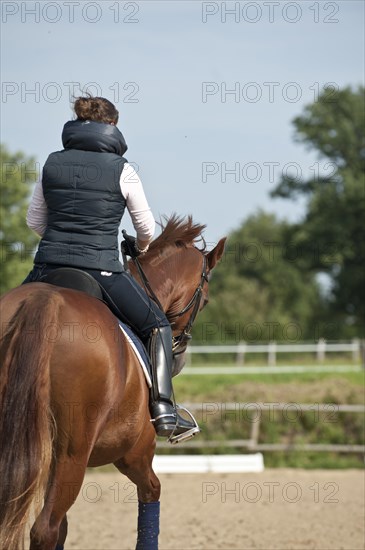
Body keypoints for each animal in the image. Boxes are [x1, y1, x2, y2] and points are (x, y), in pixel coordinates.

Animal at [0, 219, 226, 550]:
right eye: (206, 300)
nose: (180, 356)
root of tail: (45, 301)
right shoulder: (134, 454)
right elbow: (152, 491)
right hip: (73, 455)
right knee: (44, 529)